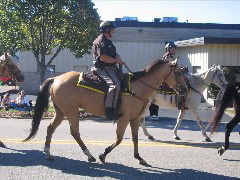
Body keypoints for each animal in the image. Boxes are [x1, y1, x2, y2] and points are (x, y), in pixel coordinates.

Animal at [23, 58, 188, 165]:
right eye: (178, 73)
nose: (185, 90)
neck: (137, 87)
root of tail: (56, 78)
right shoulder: (123, 118)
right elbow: (119, 139)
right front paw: (103, 155)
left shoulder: (134, 119)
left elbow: (135, 138)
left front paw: (139, 158)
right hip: (71, 112)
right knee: (74, 132)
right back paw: (89, 155)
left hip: (61, 112)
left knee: (50, 128)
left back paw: (48, 152)